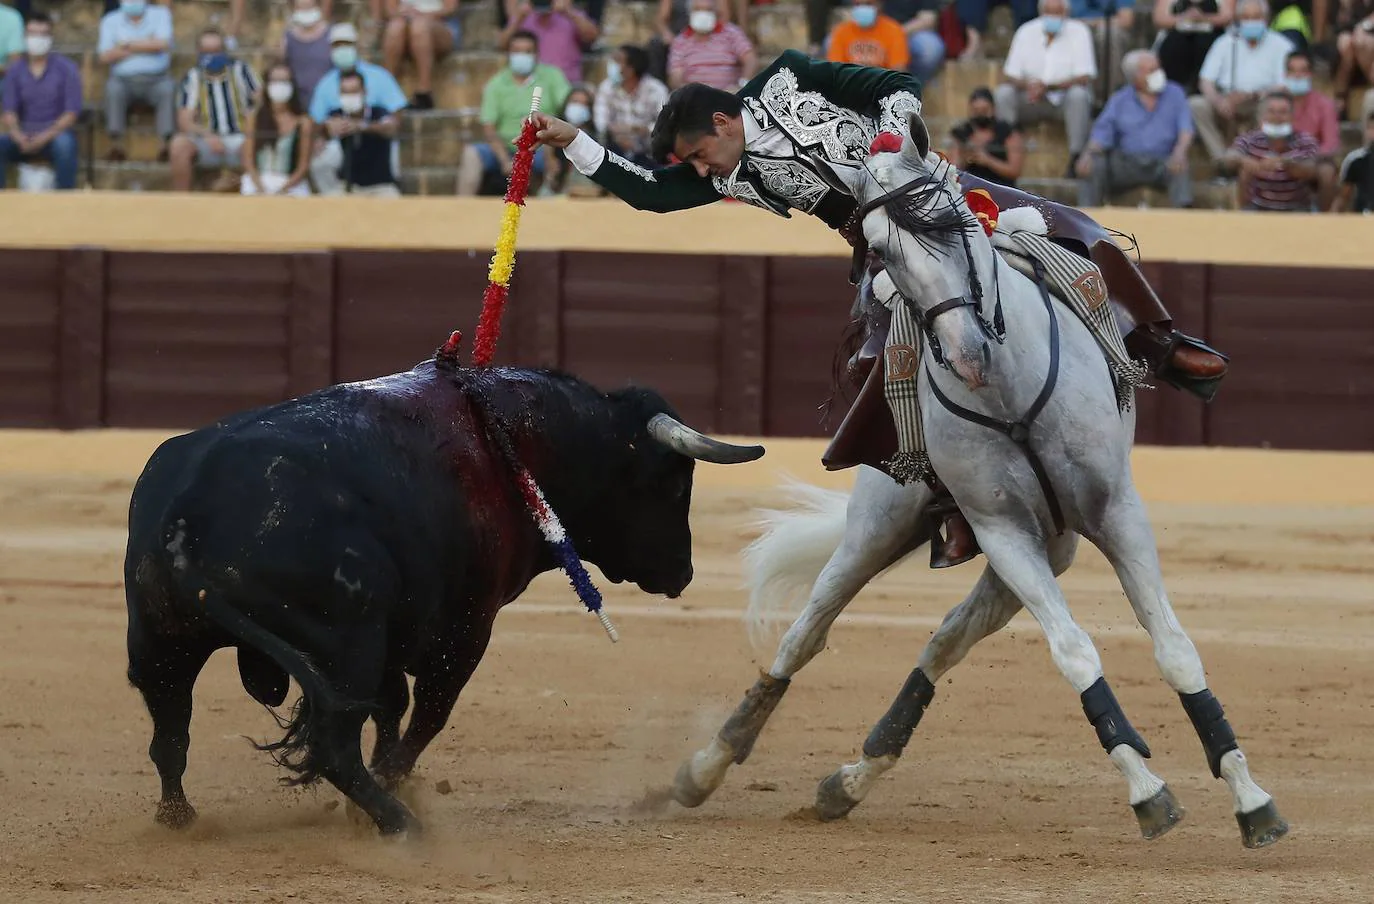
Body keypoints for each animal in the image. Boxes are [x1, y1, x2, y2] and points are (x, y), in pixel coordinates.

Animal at [126, 354, 763, 835]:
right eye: (671, 483)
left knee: (170, 733)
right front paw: (393, 788)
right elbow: (426, 716)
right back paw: (400, 822)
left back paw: (179, 817)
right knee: (333, 748)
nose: (682, 572)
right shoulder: (464, 630)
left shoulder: (397, 640)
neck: (513, 440)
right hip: (344, 647)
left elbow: (391, 710)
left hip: (162, 643)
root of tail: (188, 513)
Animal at [670, 112, 1291, 846]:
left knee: (942, 642)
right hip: (887, 524)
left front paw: (1250, 798)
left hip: (1048, 545)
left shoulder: (1115, 513)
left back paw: (849, 780)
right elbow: (1075, 652)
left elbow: (1176, 649)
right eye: (882, 254)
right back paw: (708, 765)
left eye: (952, 219)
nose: (966, 354)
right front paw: (1147, 790)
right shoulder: (1002, 529)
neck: (1009, 390)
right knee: (806, 633)